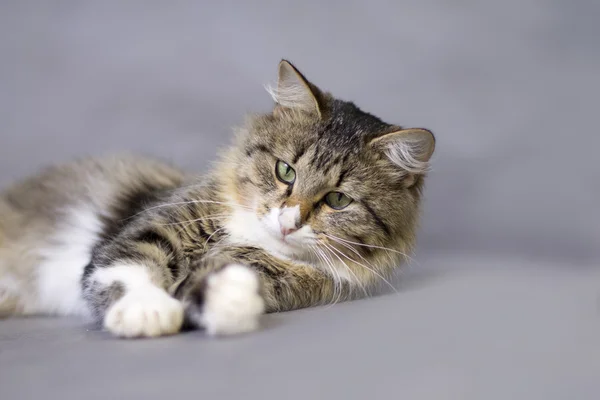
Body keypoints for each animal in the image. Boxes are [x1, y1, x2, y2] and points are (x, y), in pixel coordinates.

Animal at [0, 60, 434, 338]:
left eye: (338, 200)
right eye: (285, 172)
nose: (289, 221)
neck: (247, 239)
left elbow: (215, 290)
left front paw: (228, 293)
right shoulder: (148, 229)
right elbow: (131, 266)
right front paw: (147, 311)